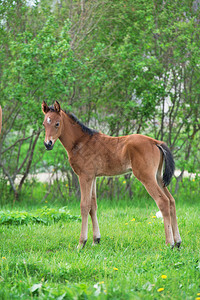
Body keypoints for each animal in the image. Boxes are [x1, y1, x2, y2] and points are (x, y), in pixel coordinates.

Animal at [41, 101, 181, 248]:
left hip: (146, 177)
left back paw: (169, 243)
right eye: (44, 124)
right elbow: (93, 206)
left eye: (57, 123)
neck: (80, 142)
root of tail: (156, 142)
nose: (48, 144)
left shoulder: (85, 176)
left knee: (163, 201)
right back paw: (177, 242)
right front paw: (96, 240)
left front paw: (81, 243)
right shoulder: (93, 177)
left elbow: (84, 206)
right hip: (158, 177)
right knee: (171, 201)